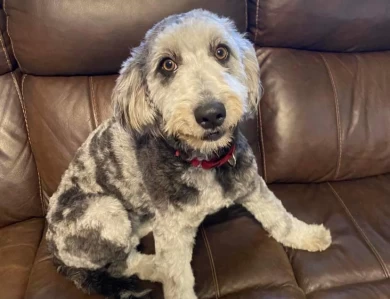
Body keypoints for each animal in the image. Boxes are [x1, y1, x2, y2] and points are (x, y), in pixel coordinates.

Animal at [46, 9, 332, 299]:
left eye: (221, 51)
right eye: (167, 65)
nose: (211, 113)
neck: (205, 160)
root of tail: (55, 255)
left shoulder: (251, 183)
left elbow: (279, 217)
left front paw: (308, 235)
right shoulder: (173, 231)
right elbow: (177, 278)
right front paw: (168, 274)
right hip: (104, 210)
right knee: (120, 263)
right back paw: (155, 266)